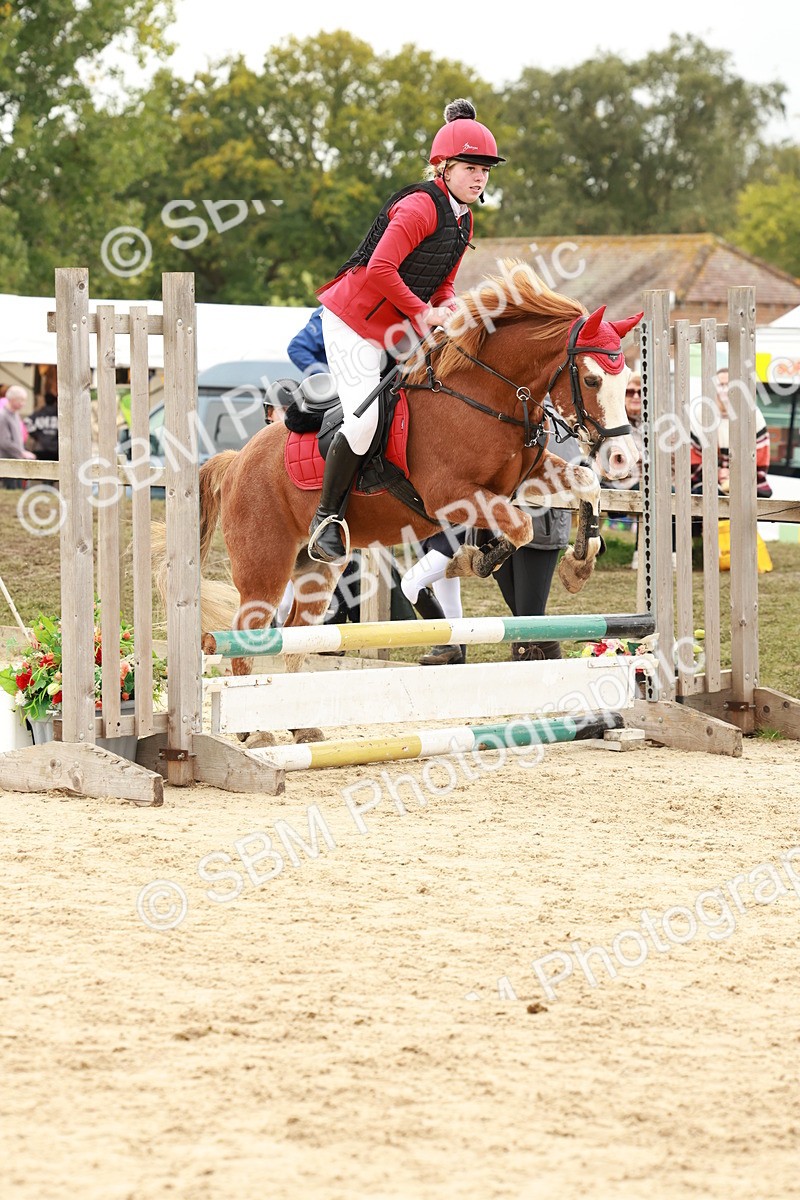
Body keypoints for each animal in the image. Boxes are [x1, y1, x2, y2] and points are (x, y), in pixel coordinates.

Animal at [158, 261, 641, 742]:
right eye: (593, 378)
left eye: (627, 381)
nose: (623, 457)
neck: (489, 396)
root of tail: (237, 458)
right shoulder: (452, 495)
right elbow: (520, 527)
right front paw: (475, 560)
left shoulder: (522, 480)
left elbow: (585, 484)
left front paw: (579, 561)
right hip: (265, 566)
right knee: (248, 632)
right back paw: (255, 733)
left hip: (315, 568)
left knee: (295, 635)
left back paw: (300, 728)